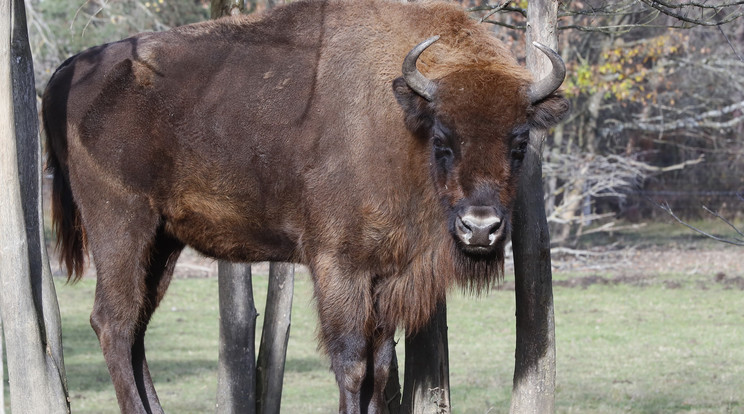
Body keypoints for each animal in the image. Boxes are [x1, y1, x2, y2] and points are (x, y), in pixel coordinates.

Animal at [43, 0, 568, 412]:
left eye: (519, 143)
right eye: (443, 140)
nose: (480, 228)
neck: (403, 124)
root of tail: (68, 71)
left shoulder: (385, 275)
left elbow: (380, 366)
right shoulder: (339, 265)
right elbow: (352, 364)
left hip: (163, 242)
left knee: (136, 329)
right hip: (121, 225)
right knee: (113, 323)